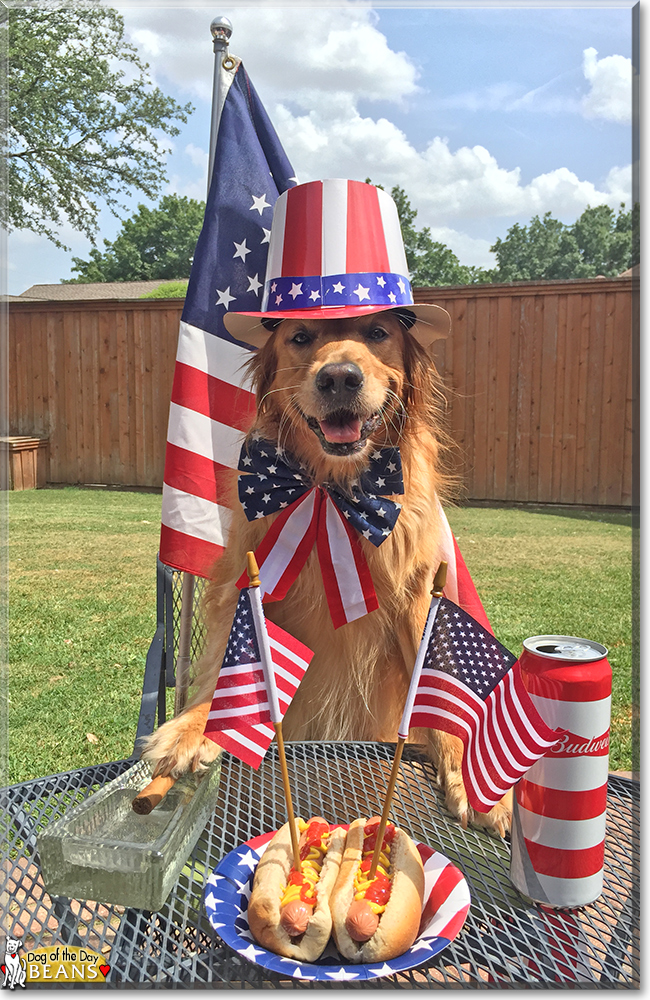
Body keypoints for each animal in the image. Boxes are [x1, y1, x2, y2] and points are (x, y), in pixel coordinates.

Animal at [143, 310, 512, 836]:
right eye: (300, 337)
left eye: (378, 333)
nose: (339, 378)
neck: (333, 491)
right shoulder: (253, 589)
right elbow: (231, 671)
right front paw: (194, 727)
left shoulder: (418, 595)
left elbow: (439, 693)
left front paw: (471, 777)